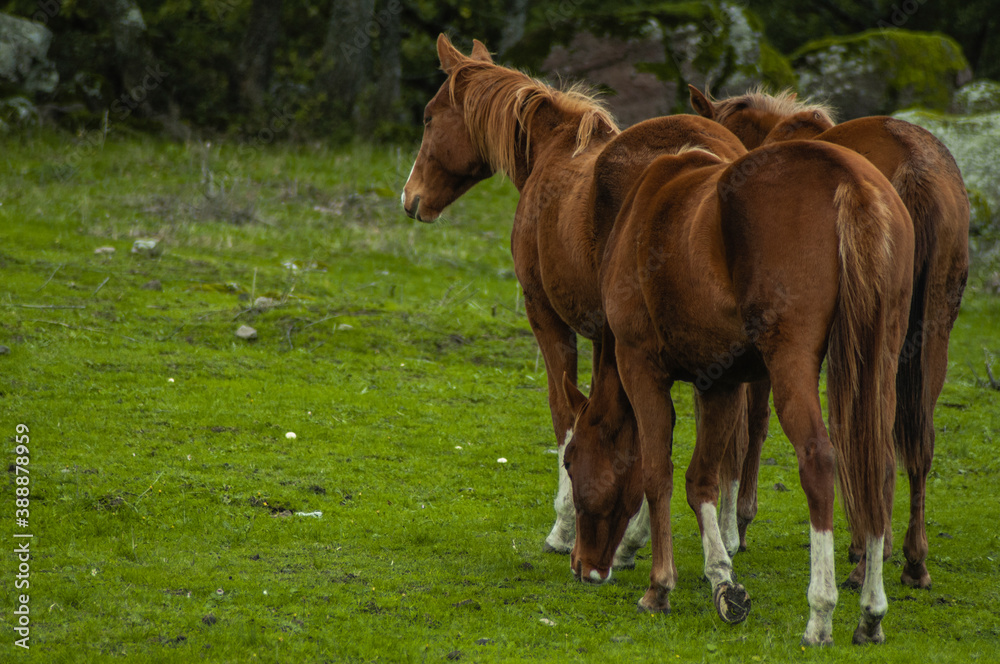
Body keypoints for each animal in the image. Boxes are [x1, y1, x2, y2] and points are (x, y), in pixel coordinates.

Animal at [400, 34, 746, 566]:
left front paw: (566, 527)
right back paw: (726, 534)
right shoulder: (610, 337)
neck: (554, 152)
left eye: (428, 117)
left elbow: (567, 413)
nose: (410, 197)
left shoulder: (546, 316)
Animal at [561, 137, 915, 645]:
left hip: (791, 366)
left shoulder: (640, 366)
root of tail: (849, 178)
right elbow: (701, 482)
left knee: (820, 461)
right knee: (879, 468)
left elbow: (657, 474)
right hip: (880, 362)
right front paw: (723, 581)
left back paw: (820, 613)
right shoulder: (721, 384)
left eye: (570, 463)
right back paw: (870, 612)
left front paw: (659, 587)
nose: (581, 566)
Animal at [689, 86, 971, 589]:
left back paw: (868, 557)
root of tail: (916, 166)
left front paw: (739, 521)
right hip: (927, 337)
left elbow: (755, 424)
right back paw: (910, 560)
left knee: (873, 442)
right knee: (912, 444)